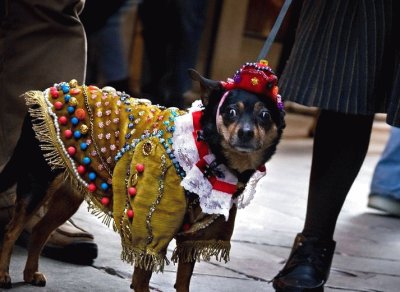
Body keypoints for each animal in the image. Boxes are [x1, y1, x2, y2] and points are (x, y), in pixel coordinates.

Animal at [0, 60, 284, 290]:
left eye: (264, 115)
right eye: (231, 112)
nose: (246, 132)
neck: (208, 152)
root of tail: (46, 93)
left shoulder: (194, 236)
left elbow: (183, 282)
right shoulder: (151, 228)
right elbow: (142, 279)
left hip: (68, 195)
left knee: (39, 231)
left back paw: (30, 273)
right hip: (37, 183)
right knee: (12, 230)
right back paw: (4, 275)